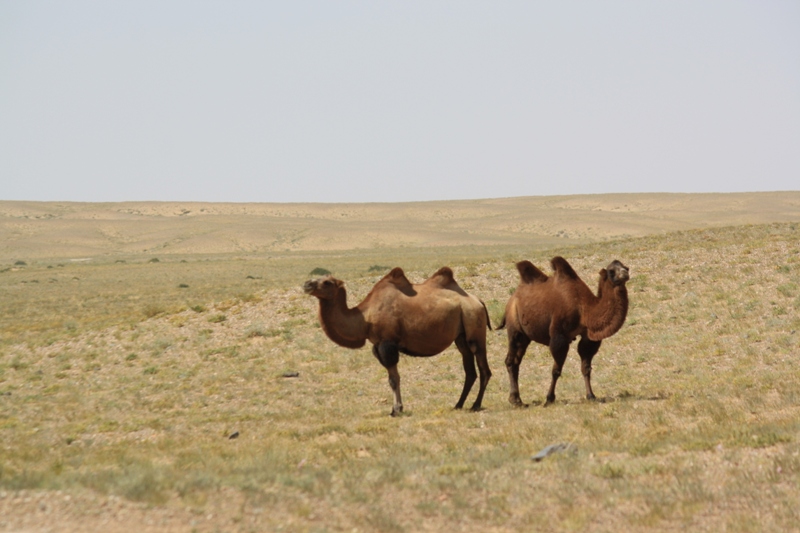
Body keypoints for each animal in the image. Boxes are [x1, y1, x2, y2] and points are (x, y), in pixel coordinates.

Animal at [304, 266, 490, 416]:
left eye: (327, 282)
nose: (307, 284)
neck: (365, 318)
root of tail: (479, 301)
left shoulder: (388, 343)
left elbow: (394, 379)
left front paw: (396, 410)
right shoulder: (377, 345)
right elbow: (392, 378)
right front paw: (397, 408)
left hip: (475, 327)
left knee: (484, 369)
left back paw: (475, 405)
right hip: (461, 336)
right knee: (470, 370)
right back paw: (458, 404)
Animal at [496, 256, 628, 406]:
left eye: (626, 267)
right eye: (611, 271)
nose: (625, 273)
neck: (584, 310)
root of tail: (511, 299)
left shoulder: (587, 337)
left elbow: (586, 368)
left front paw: (591, 395)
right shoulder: (559, 336)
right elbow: (556, 370)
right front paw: (549, 398)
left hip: (525, 336)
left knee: (517, 360)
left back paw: (517, 399)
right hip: (514, 327)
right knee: (510, 359)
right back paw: (515, 400)